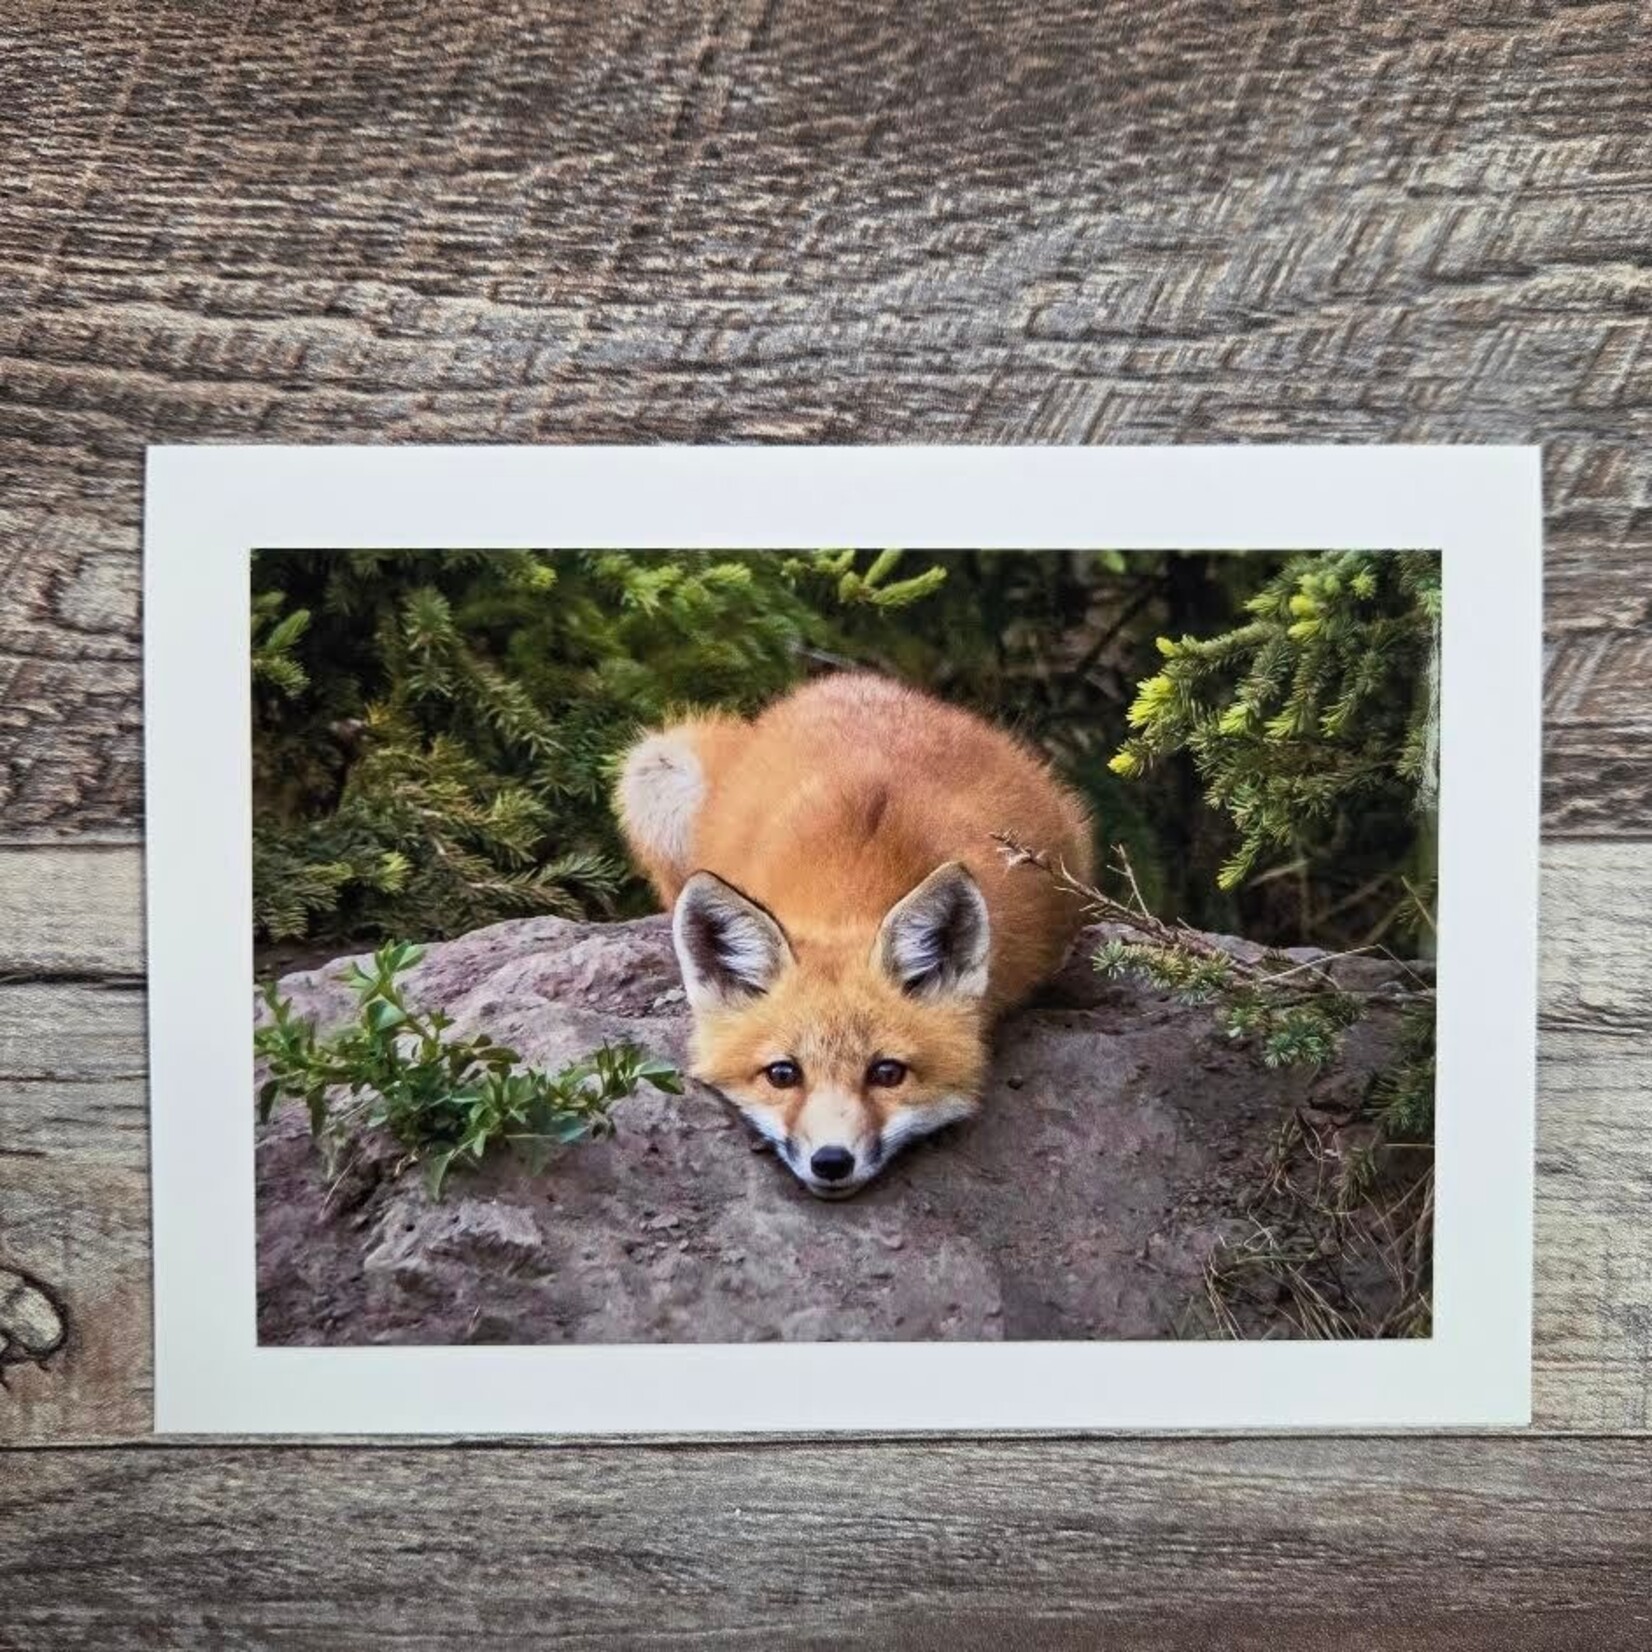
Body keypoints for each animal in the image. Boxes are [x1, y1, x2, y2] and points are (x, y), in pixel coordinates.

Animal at [615, 672, 1093, 1198]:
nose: (831, 1161)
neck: (850, 879)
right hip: (656, 765)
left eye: (886, 1073)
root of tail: (846, 680)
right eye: (783, 1074)